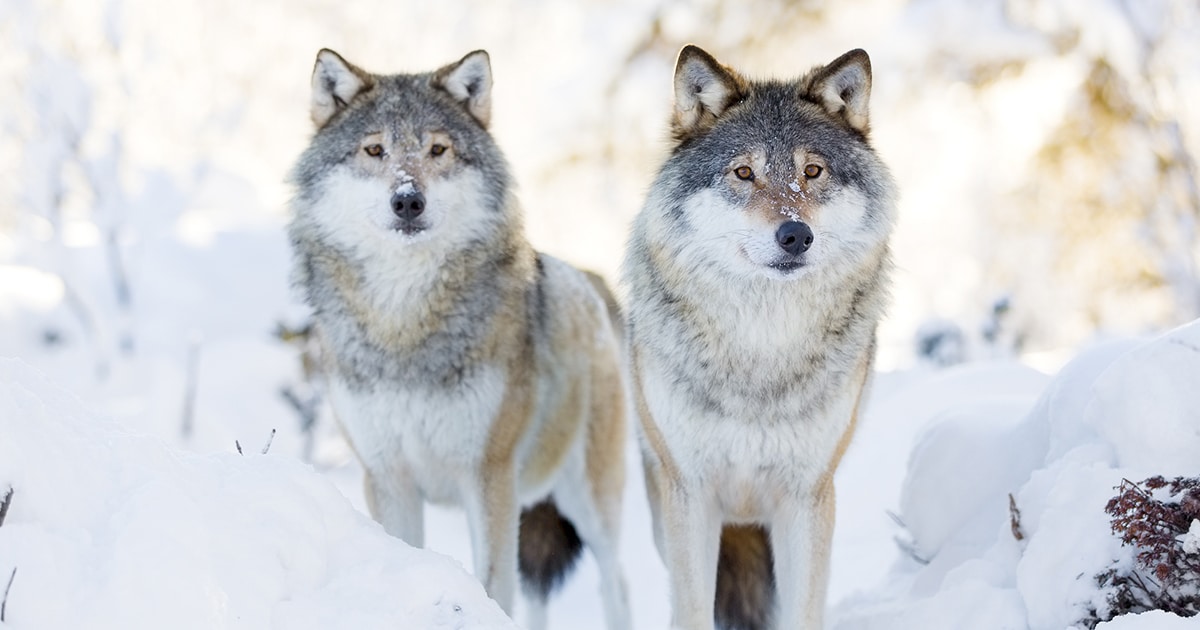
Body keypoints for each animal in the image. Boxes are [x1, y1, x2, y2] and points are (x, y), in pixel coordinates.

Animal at [286, 49, 630, 629]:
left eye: (437, 149)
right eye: (374, 150)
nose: (408, 200)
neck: (405, 325)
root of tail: (588, 282)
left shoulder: (488, 474)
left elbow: (493, 586)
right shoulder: (388, 477)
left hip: (590, 504)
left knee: (616, 587)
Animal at [621, 45, 897, 630]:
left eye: (812, 171)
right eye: (744, 173)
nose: (795, 235)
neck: (762, 348)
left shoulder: (807, 497)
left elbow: (803, 612)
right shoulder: (691, 495)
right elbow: (693, 611)